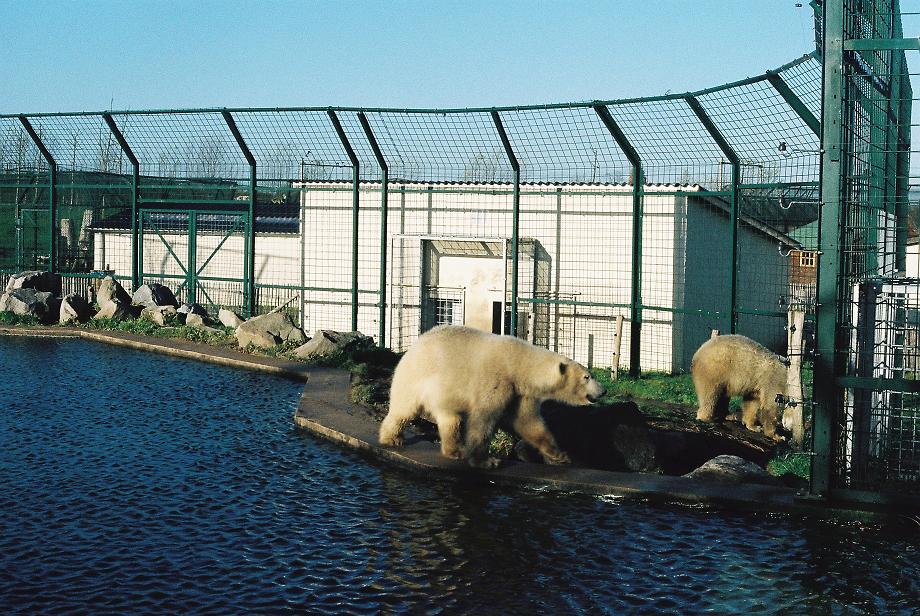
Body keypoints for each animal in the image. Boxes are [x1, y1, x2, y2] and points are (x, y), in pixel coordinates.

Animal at [379, 325, 606, 468]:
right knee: (404, 409)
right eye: (587, 376)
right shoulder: (496, 380)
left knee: (450, 419)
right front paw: (487, 461)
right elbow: (484, 418)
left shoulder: (520, 392)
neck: (518, 365)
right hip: (417, 376)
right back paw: (392, 438)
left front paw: (560, 455)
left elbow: (528, 422)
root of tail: (414, 345)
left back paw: (455, 450)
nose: (603, 390)